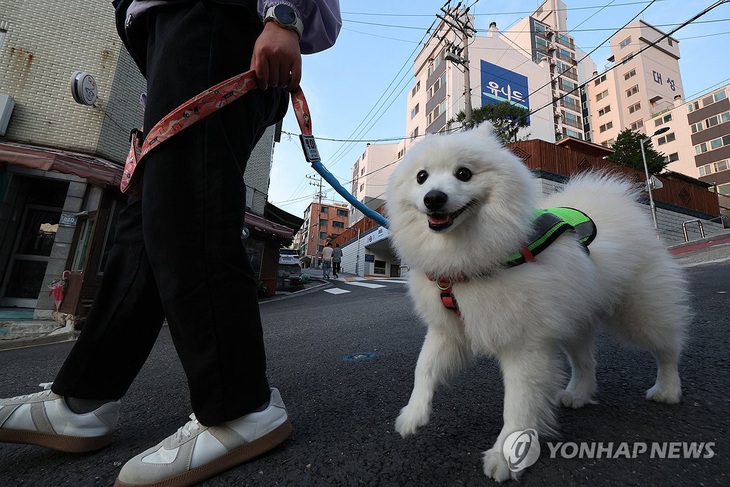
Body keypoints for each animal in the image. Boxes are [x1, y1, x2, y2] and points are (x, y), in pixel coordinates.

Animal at [386, 124, 688, 482]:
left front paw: (507, 455)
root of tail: (616, 201)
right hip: (573, 320)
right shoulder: (448, 329)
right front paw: (413, 414)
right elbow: (424, 368)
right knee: (586, 362)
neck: (466, 261)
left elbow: (517, 403)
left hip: (638, 314)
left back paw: (667, 390)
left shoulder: (524, 344)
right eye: (422, 177)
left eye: (464, 174)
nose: (433, 198)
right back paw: (578, 395)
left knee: (667, 348)